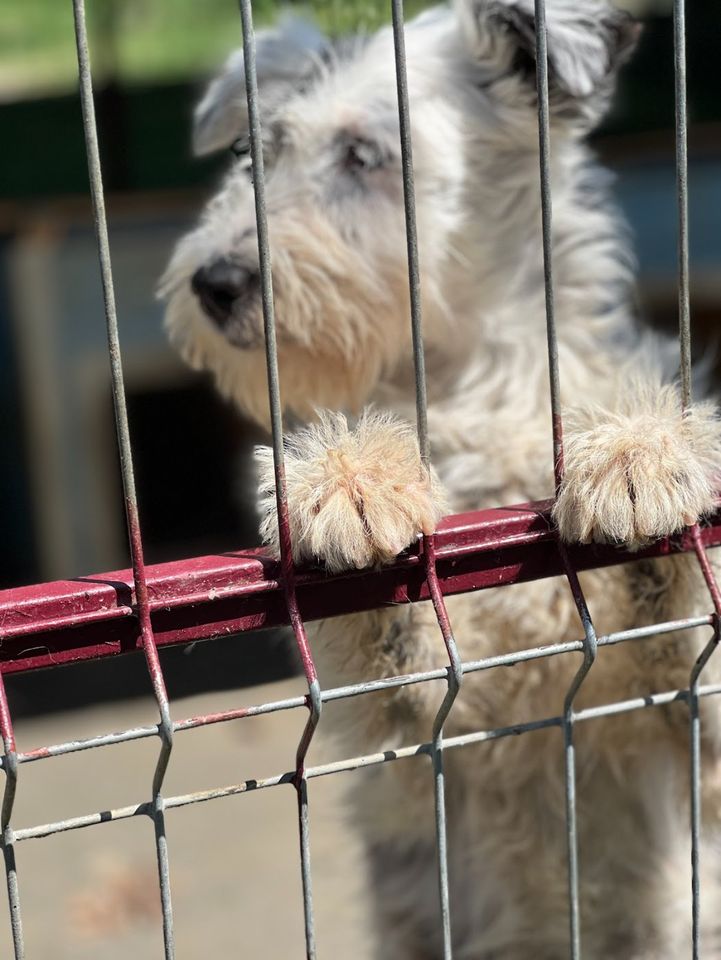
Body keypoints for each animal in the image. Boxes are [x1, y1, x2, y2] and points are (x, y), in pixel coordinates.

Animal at [159, 3, 721, 956]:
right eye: (255, 152)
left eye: (362, 154)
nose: (214, 281)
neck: (474, 391)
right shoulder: (417, 724)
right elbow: (386, 637)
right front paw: (349, 478)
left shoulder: (693, 729)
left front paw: (636, 449)